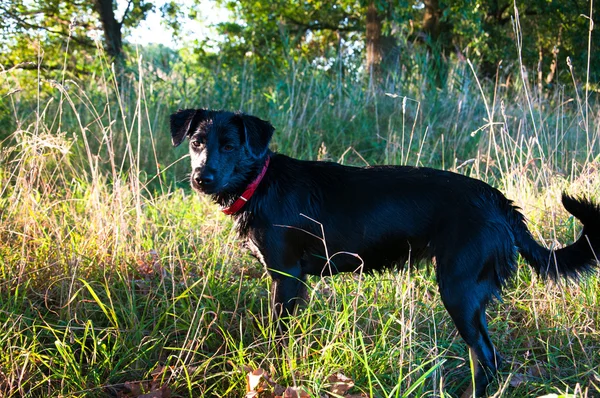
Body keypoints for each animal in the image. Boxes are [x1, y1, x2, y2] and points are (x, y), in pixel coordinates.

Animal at [170, 108, 600, 394]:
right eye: (196, 143)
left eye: (229, 146)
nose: (201, 178)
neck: (261, 184)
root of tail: (498, 200)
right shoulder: (297, 283)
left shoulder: (287, 279)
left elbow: (279, 340)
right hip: (469, 296)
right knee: (489, 357)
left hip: (459, 290)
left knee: (486, 358)